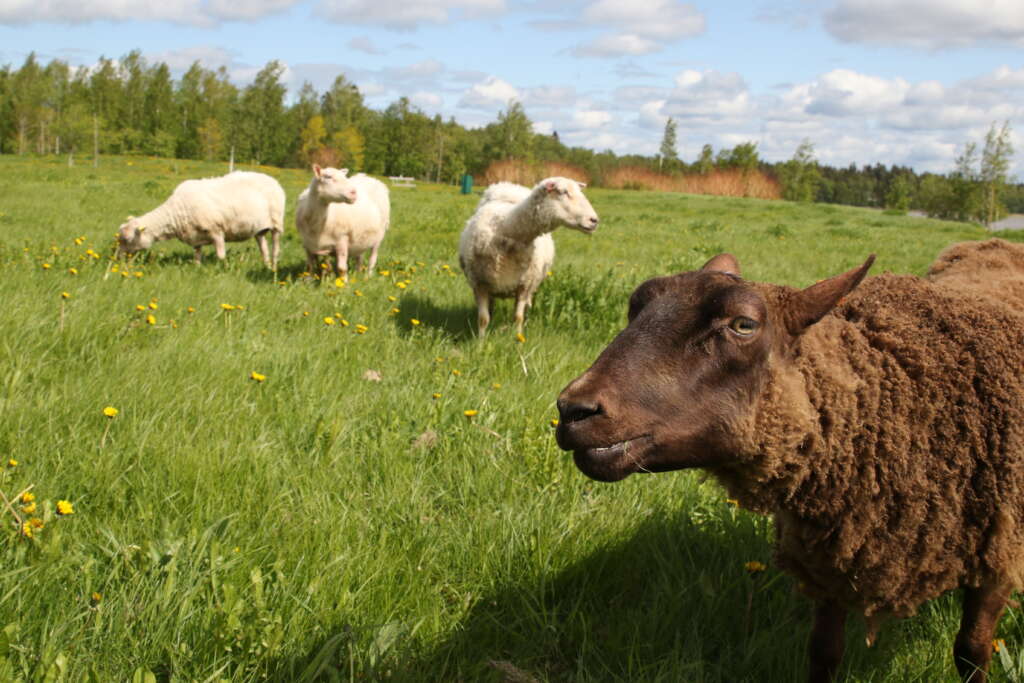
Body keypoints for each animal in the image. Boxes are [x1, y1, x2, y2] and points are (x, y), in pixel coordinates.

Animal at [116, 171, 284, 270]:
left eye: (128, 240)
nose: (117, 258)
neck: (175, 212)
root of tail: (273, 180)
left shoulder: (216, 230)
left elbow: (221, 255)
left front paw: (222, 268)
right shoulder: (195, 236)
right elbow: (196, 256)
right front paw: (196, 268)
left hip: (276, 223)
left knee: (275, 248)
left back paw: (274, 267)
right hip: (260, 229)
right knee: (263, 248)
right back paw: (266, 264)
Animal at [458, 176, 598, 335]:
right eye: (564, 192)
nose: (594, 220)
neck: (506, 229)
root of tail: (510, 185)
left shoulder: (524, 285)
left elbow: (518, 317)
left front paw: (518, 338)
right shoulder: (479, 283)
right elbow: (483, 319)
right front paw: (481, 340)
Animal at [557, 237, 1024, 679]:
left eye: (744, 324)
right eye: (634, 307)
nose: (572, 410)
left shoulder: (999, 558)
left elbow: (971, 652)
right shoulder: (830, 560)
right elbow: (824, 653)